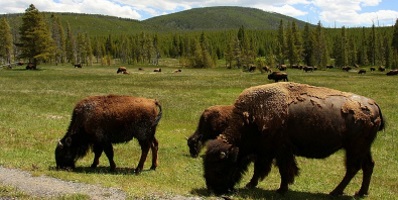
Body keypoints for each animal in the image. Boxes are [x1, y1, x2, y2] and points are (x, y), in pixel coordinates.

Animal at [204, 82, 384, 197]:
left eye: (219, 168)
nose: (212, 189)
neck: (252, 117)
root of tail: (374, 105)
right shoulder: (266, 152)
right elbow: (259, 168)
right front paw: (251, 184)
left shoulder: (280, 150)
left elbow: (283, 170)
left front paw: (281, 189)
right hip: (363, 148)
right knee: (368, 166)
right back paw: (360, 192)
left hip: (354, 148)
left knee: (353, 168)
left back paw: (335, 192)